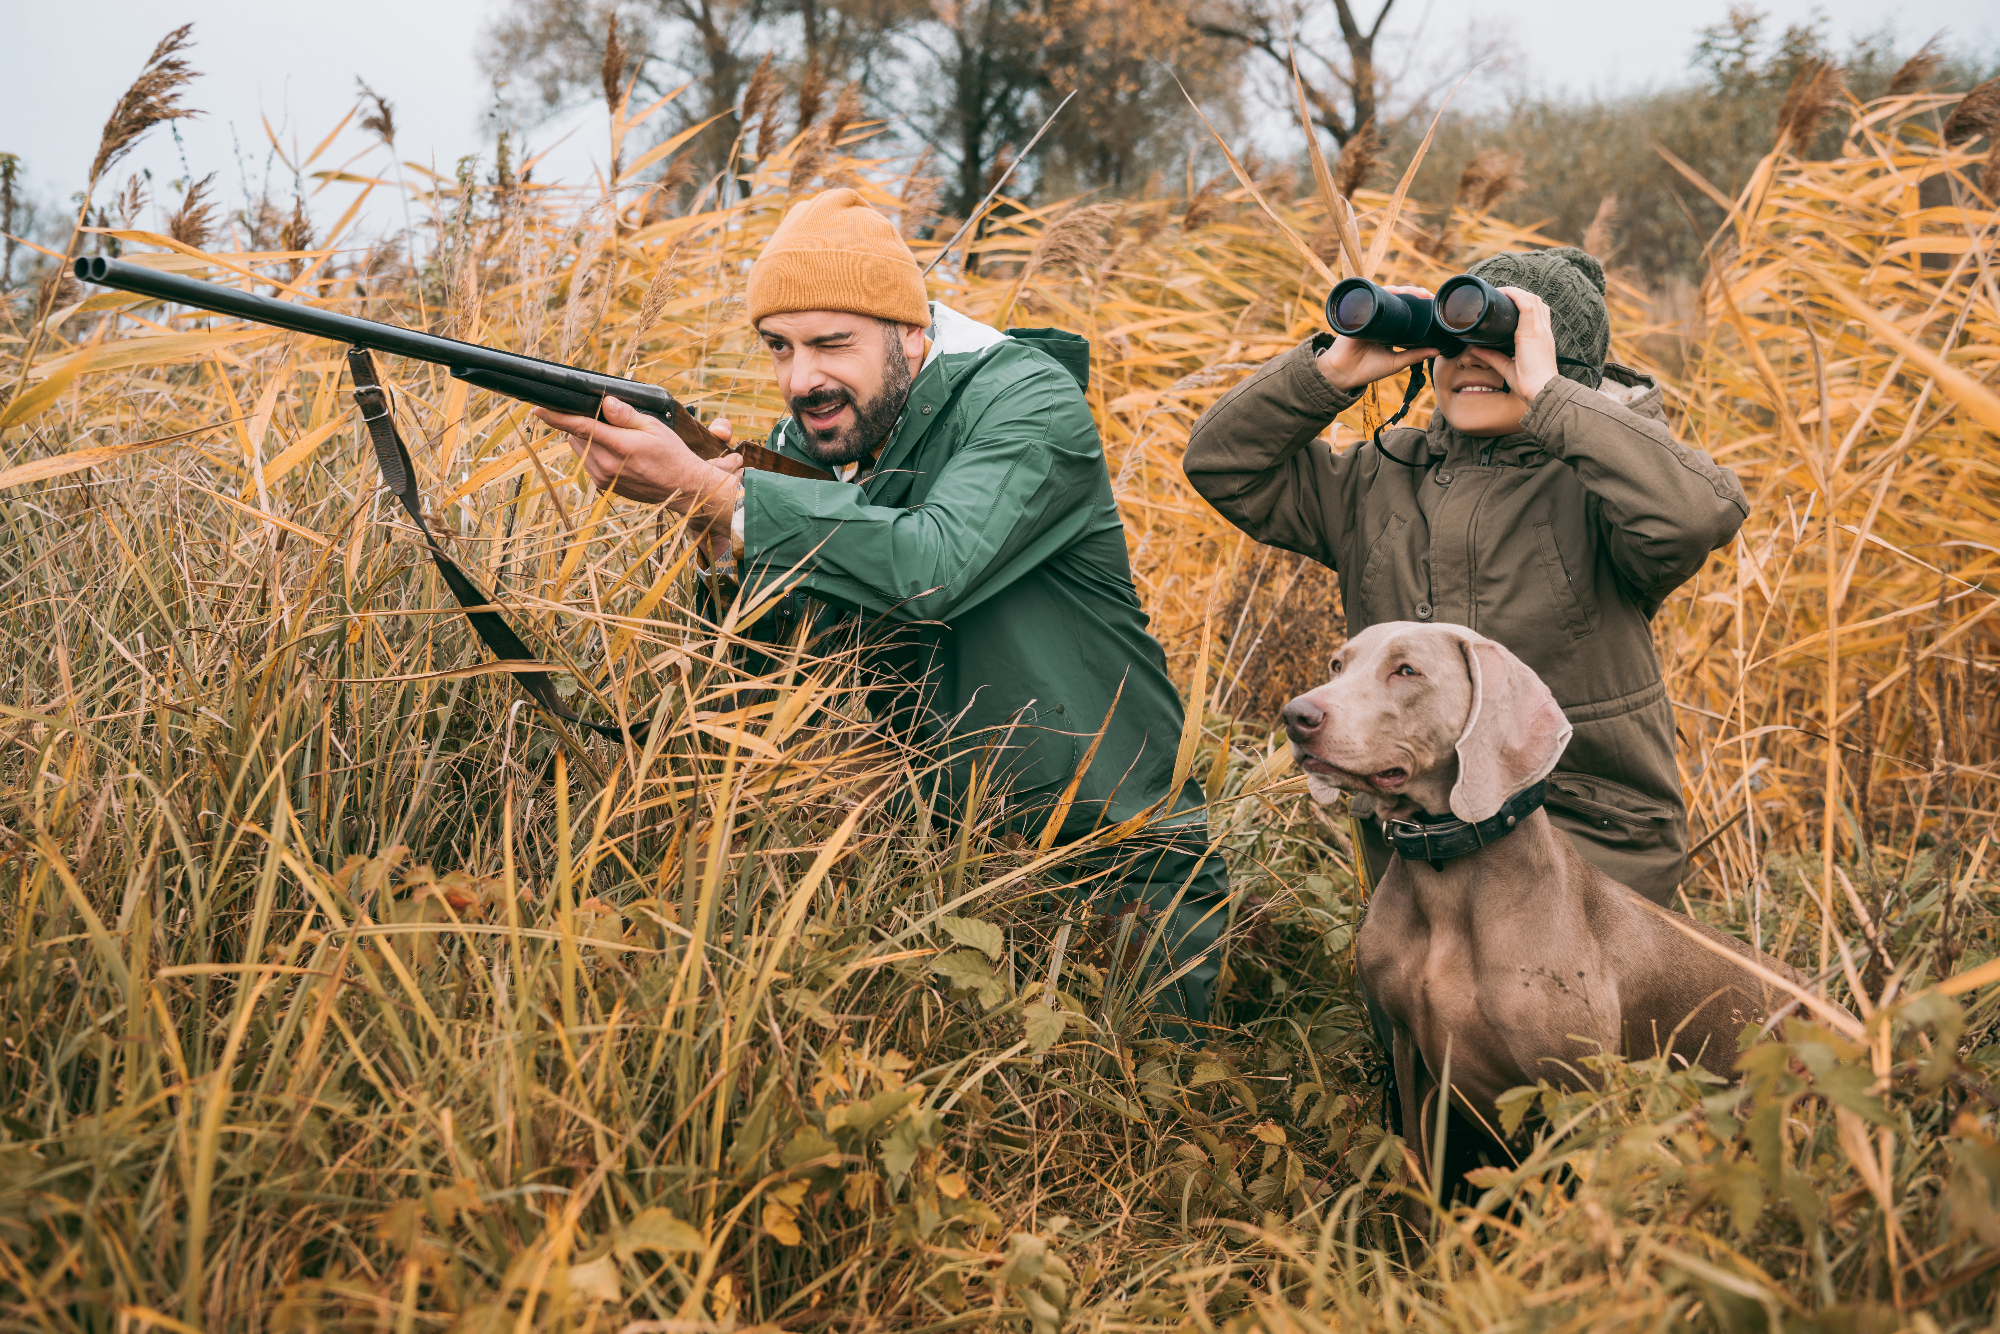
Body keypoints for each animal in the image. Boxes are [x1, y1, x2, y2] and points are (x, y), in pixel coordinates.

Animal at [1280, 620, 1816, 1184]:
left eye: (1407, 671)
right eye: (1337, 665)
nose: (1296, 716)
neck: (1445, 873)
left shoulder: (1578, 1089)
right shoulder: (1410, 1057)